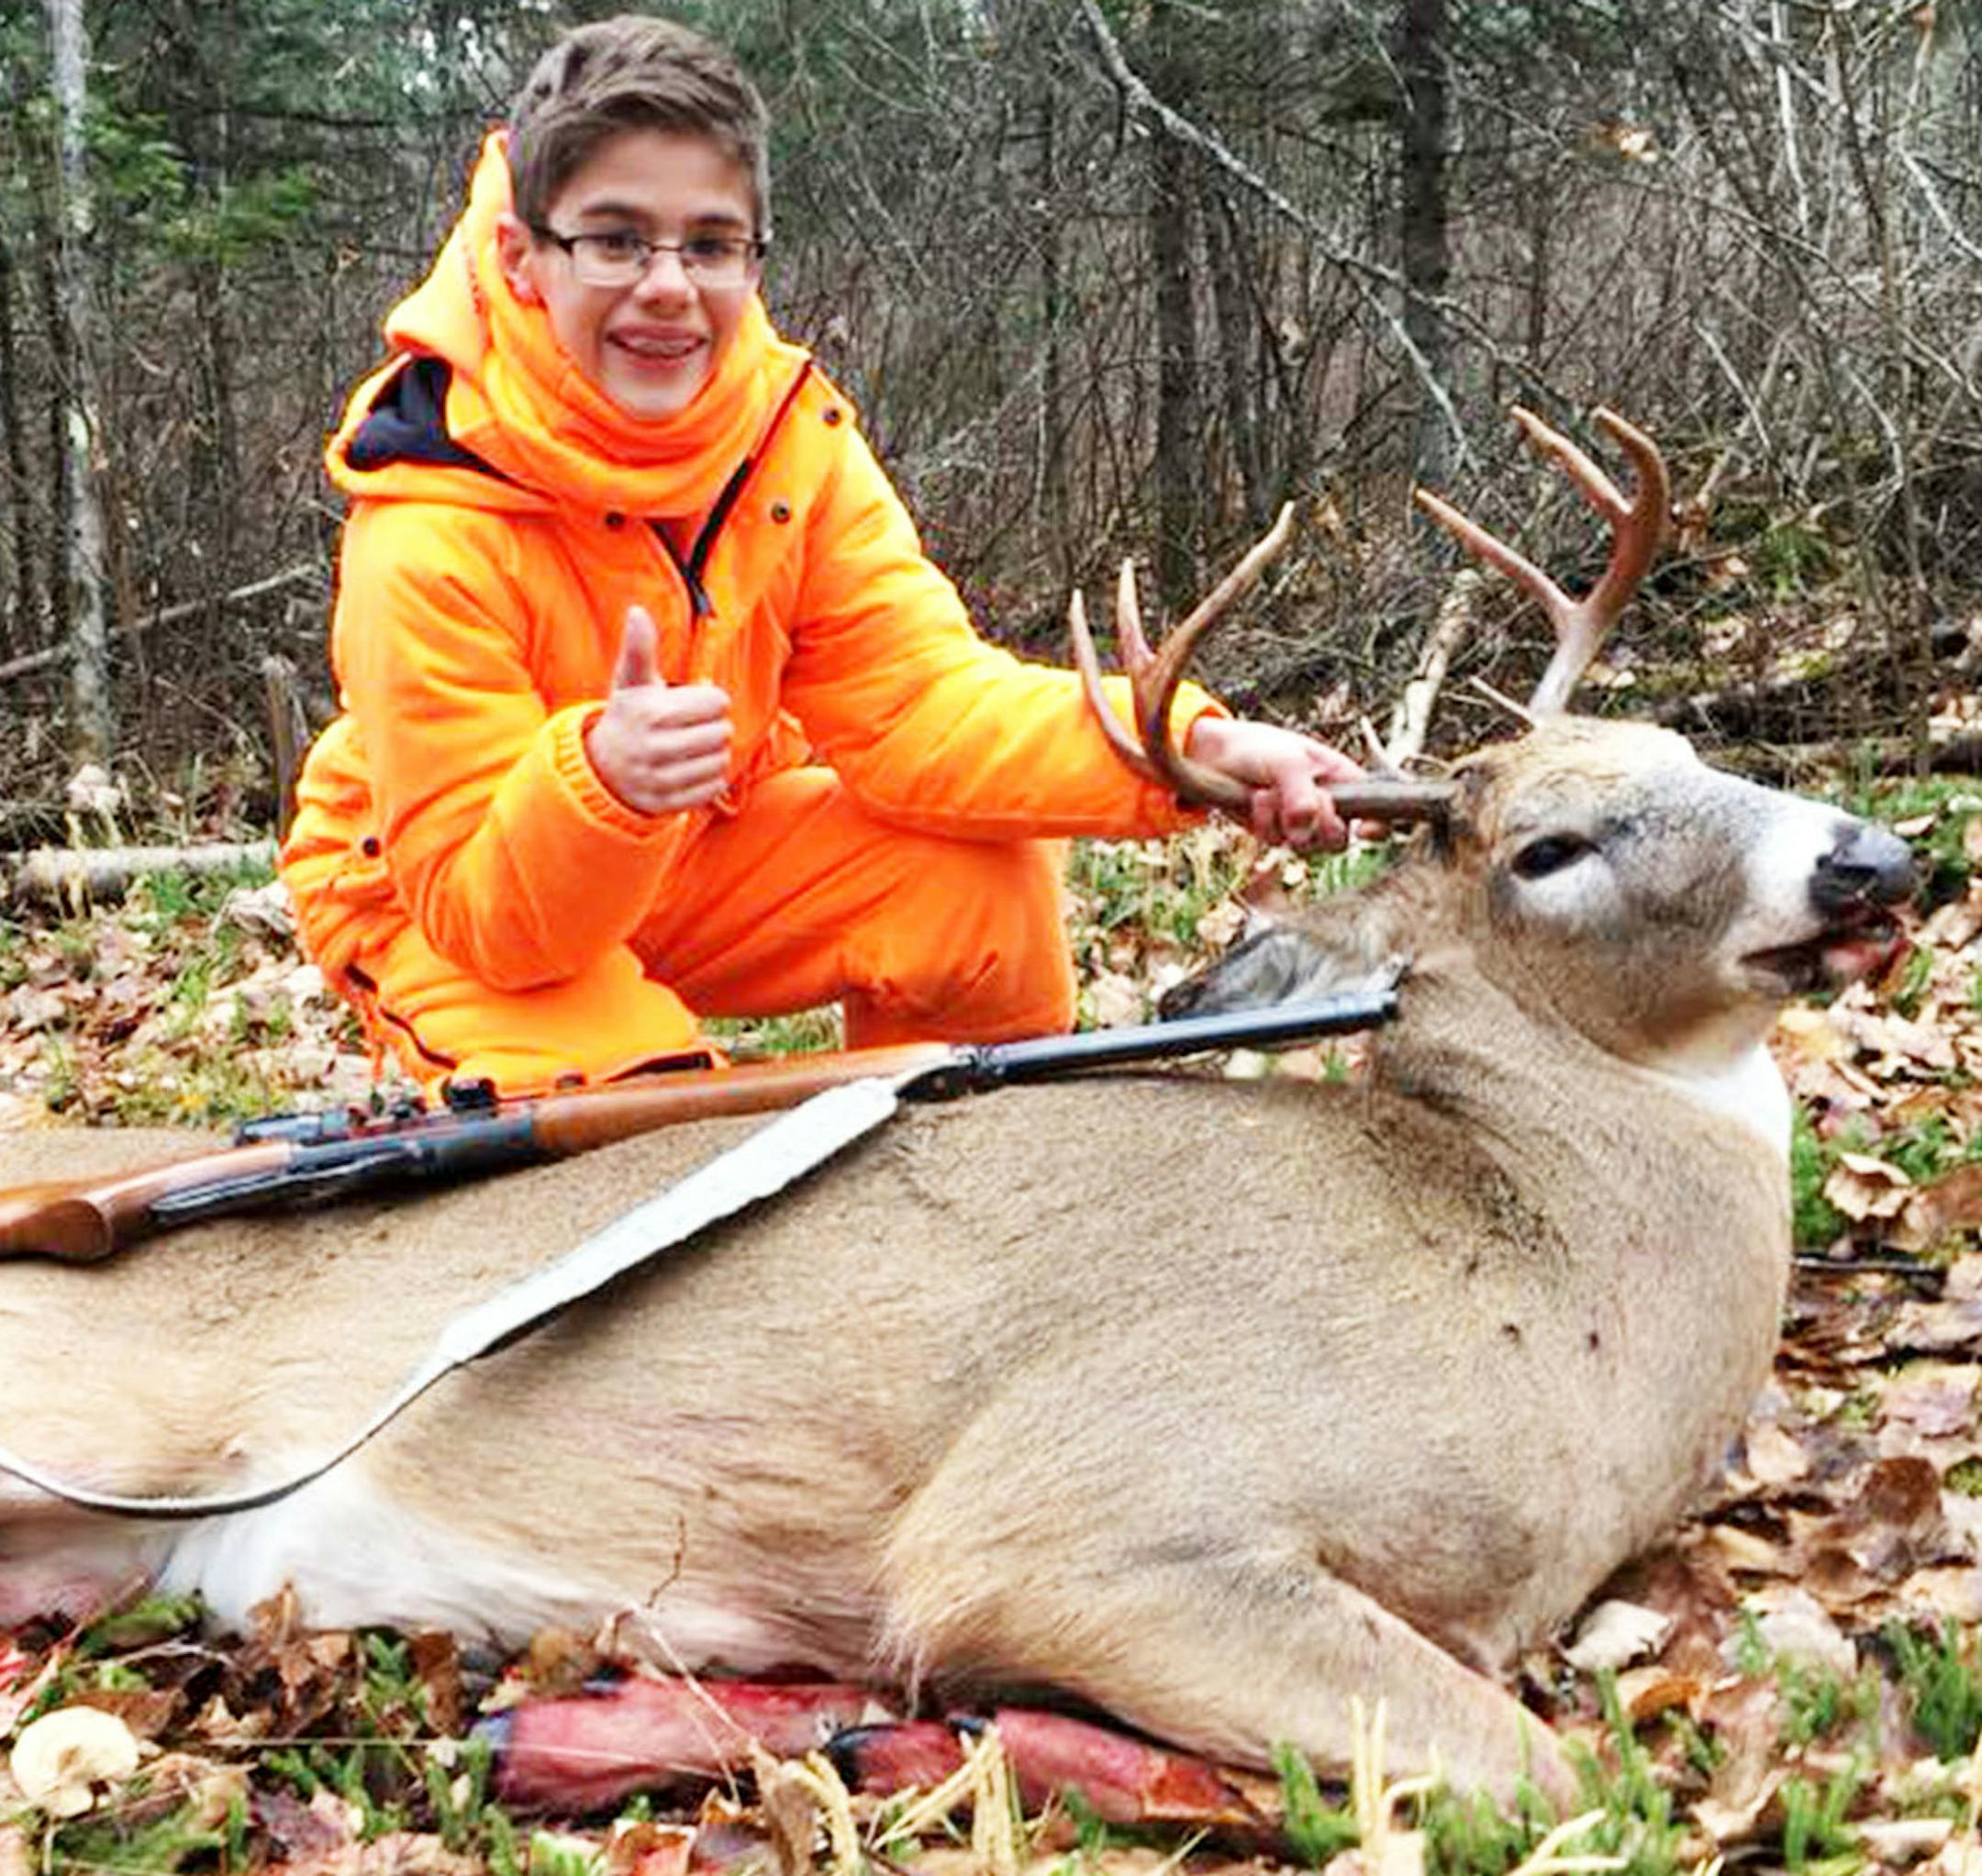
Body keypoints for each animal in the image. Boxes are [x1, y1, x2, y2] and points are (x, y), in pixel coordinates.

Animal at [0, 410, 1911, 1812]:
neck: (1543, 1299)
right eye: (1547, 850)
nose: (1873, 856)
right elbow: (1568, 1783)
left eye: (1690, 749)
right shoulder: (1080, 1511)